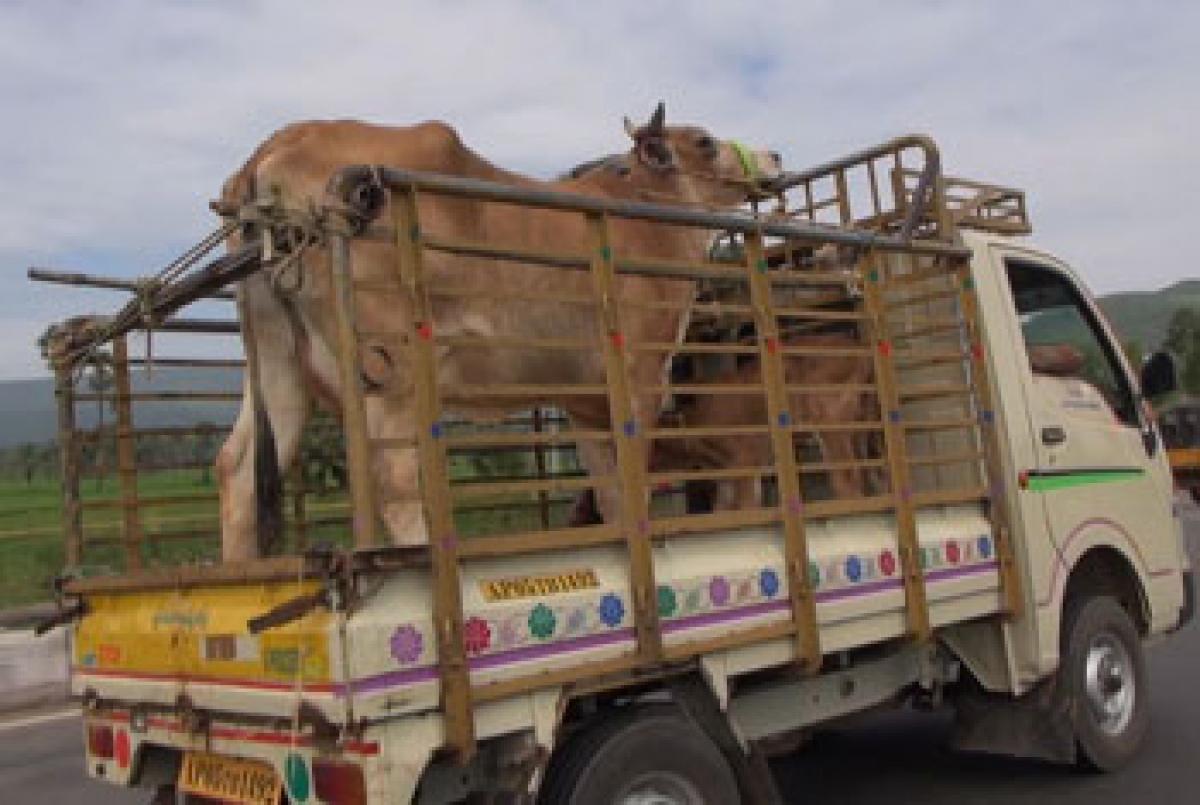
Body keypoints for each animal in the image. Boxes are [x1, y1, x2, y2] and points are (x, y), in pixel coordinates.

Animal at [214, 105, 777, 561]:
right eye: (704, 140)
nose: (772, 155)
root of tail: (276, 146)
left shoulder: (584, 400)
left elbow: (610, 490)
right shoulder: (641, 374)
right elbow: (633, 479)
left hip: (279, 363)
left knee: (238, 470)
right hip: (389, 371)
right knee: (391, 475)